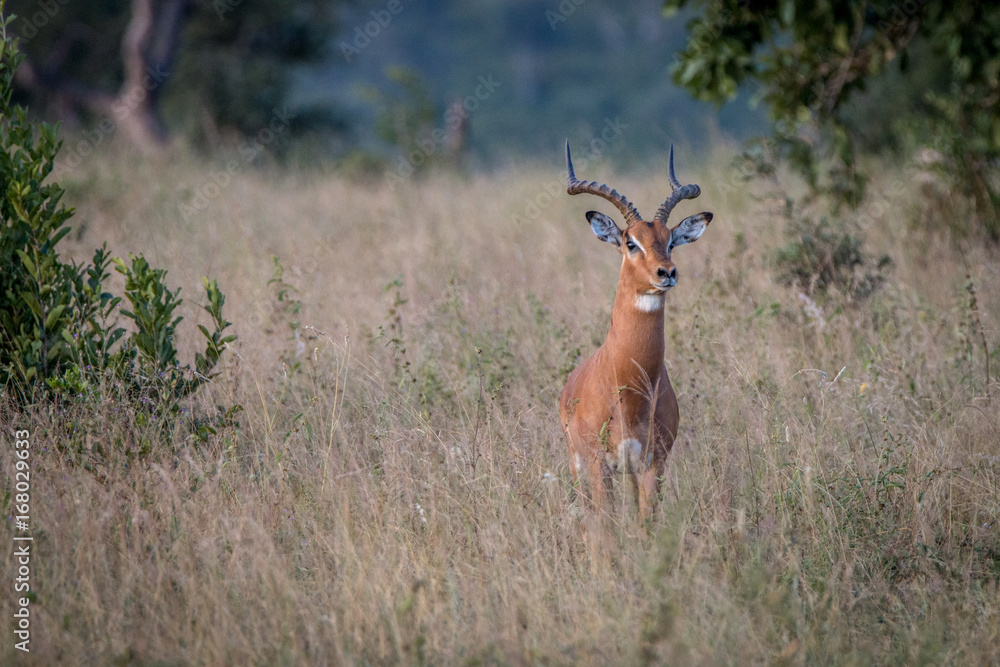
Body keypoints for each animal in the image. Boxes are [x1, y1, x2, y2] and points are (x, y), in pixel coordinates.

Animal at [559, 142, 712, 521]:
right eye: (631, 243)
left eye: (670, 240)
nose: (667, 272)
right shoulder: (599, 465)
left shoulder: (652, 465)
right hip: (578, 467)